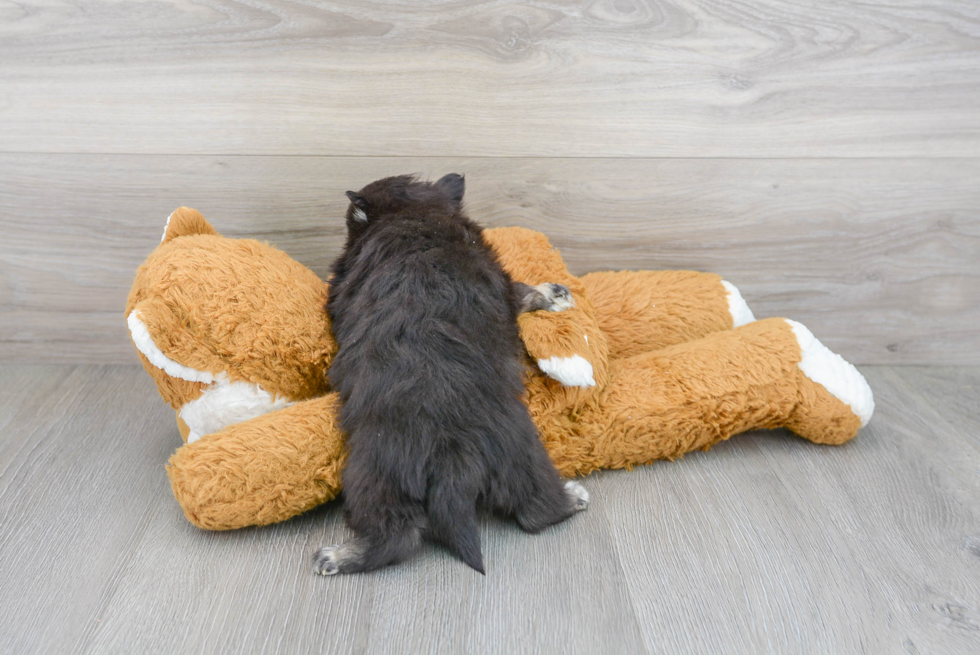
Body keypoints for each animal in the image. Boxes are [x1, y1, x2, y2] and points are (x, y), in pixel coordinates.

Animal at [314, 173, 588, 576]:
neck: (416, 214)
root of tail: (453, 455)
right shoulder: (501, 281)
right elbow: (522, 291)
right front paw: (555, 293)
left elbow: (524, 291)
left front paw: (555, 294)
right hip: (518, 456)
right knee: (536, 510)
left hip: (374, 471)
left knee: (398, 534)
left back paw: (336, 557)